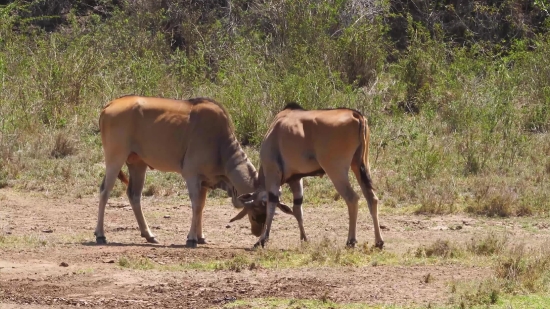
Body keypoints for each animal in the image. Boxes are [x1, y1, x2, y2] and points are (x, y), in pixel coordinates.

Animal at [96, 95, 284, 247]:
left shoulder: (204, 182)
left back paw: (149, 235)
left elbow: (201, 206)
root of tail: (109, 106)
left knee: (134, 195)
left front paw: (200, 237)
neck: (220, 143)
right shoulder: (192, 176)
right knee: (105, 190)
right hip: (115, 158)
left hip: (138, 164)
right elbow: (196, 205)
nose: (257, 232)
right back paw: (100, 235)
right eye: (257, 212)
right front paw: (192, 239)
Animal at [231, 103, 386, 248]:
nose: (255, 232)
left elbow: (272, 205)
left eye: (253, 214)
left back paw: (351, 241)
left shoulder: (273, 173)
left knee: (352, 198)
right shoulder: (296, 179)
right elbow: (297, 209)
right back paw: (379, 242)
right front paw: (304, 239)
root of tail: (356, 115)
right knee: (372, 199)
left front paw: (262, 240)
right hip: (360, 167)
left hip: (336, 171)